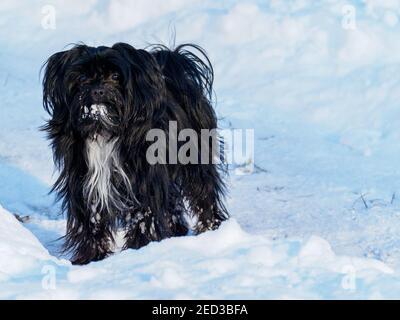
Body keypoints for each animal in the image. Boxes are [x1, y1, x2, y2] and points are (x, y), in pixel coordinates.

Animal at [41, 43, 228, 264]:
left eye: (115, 76)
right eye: (83, 77)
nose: (97, 90)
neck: (103, 129)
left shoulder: (142, 183)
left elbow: (143, 217)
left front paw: (139, 250)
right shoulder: (84, 183)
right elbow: (92, 221)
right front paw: (91, 257)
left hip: (196, 161)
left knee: (203, 195)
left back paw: (210, 230)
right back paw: (176, 233)